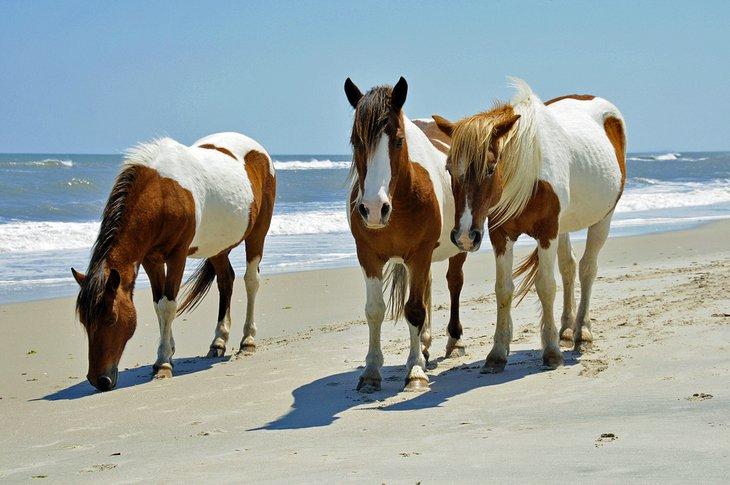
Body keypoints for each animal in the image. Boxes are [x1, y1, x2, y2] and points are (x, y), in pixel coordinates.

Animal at [71, 132, 276, 391]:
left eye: (111, 319)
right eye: (84, 321)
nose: (99, 380)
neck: (162, 194)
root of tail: (258, 149)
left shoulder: (177, 256)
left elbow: (168, 305)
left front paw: (163, 364)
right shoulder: (151, 259)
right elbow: (159, 304)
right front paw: (165, 354)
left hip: (258, 233)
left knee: (251, 281)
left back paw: (247, 341)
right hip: (217, 247)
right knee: (225, 280)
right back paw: (218, 342)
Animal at [344, 77, 467, 393]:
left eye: (399, 140)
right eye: (356, 141)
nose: (374, 209)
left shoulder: (420, 254)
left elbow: (414, 310)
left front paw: (415, 372)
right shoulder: (368, 256)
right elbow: (375, 310)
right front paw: (371, 371)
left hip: (458, 246)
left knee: (454, 283)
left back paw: (454, 341)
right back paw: (424, 344)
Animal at [433, 78, 625, 372]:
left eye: (490, 168)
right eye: (448, 169)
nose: (465, 236)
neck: (528, 173)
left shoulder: (547, 233)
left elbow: (545, 285)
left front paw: (551, 353)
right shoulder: (500, 235)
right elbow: (503, 289)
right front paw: (497, 353)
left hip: (603, 218)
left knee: (587, 269)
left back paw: (582, 333)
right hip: (564, 227)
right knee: (569, 268)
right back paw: (566, 330)